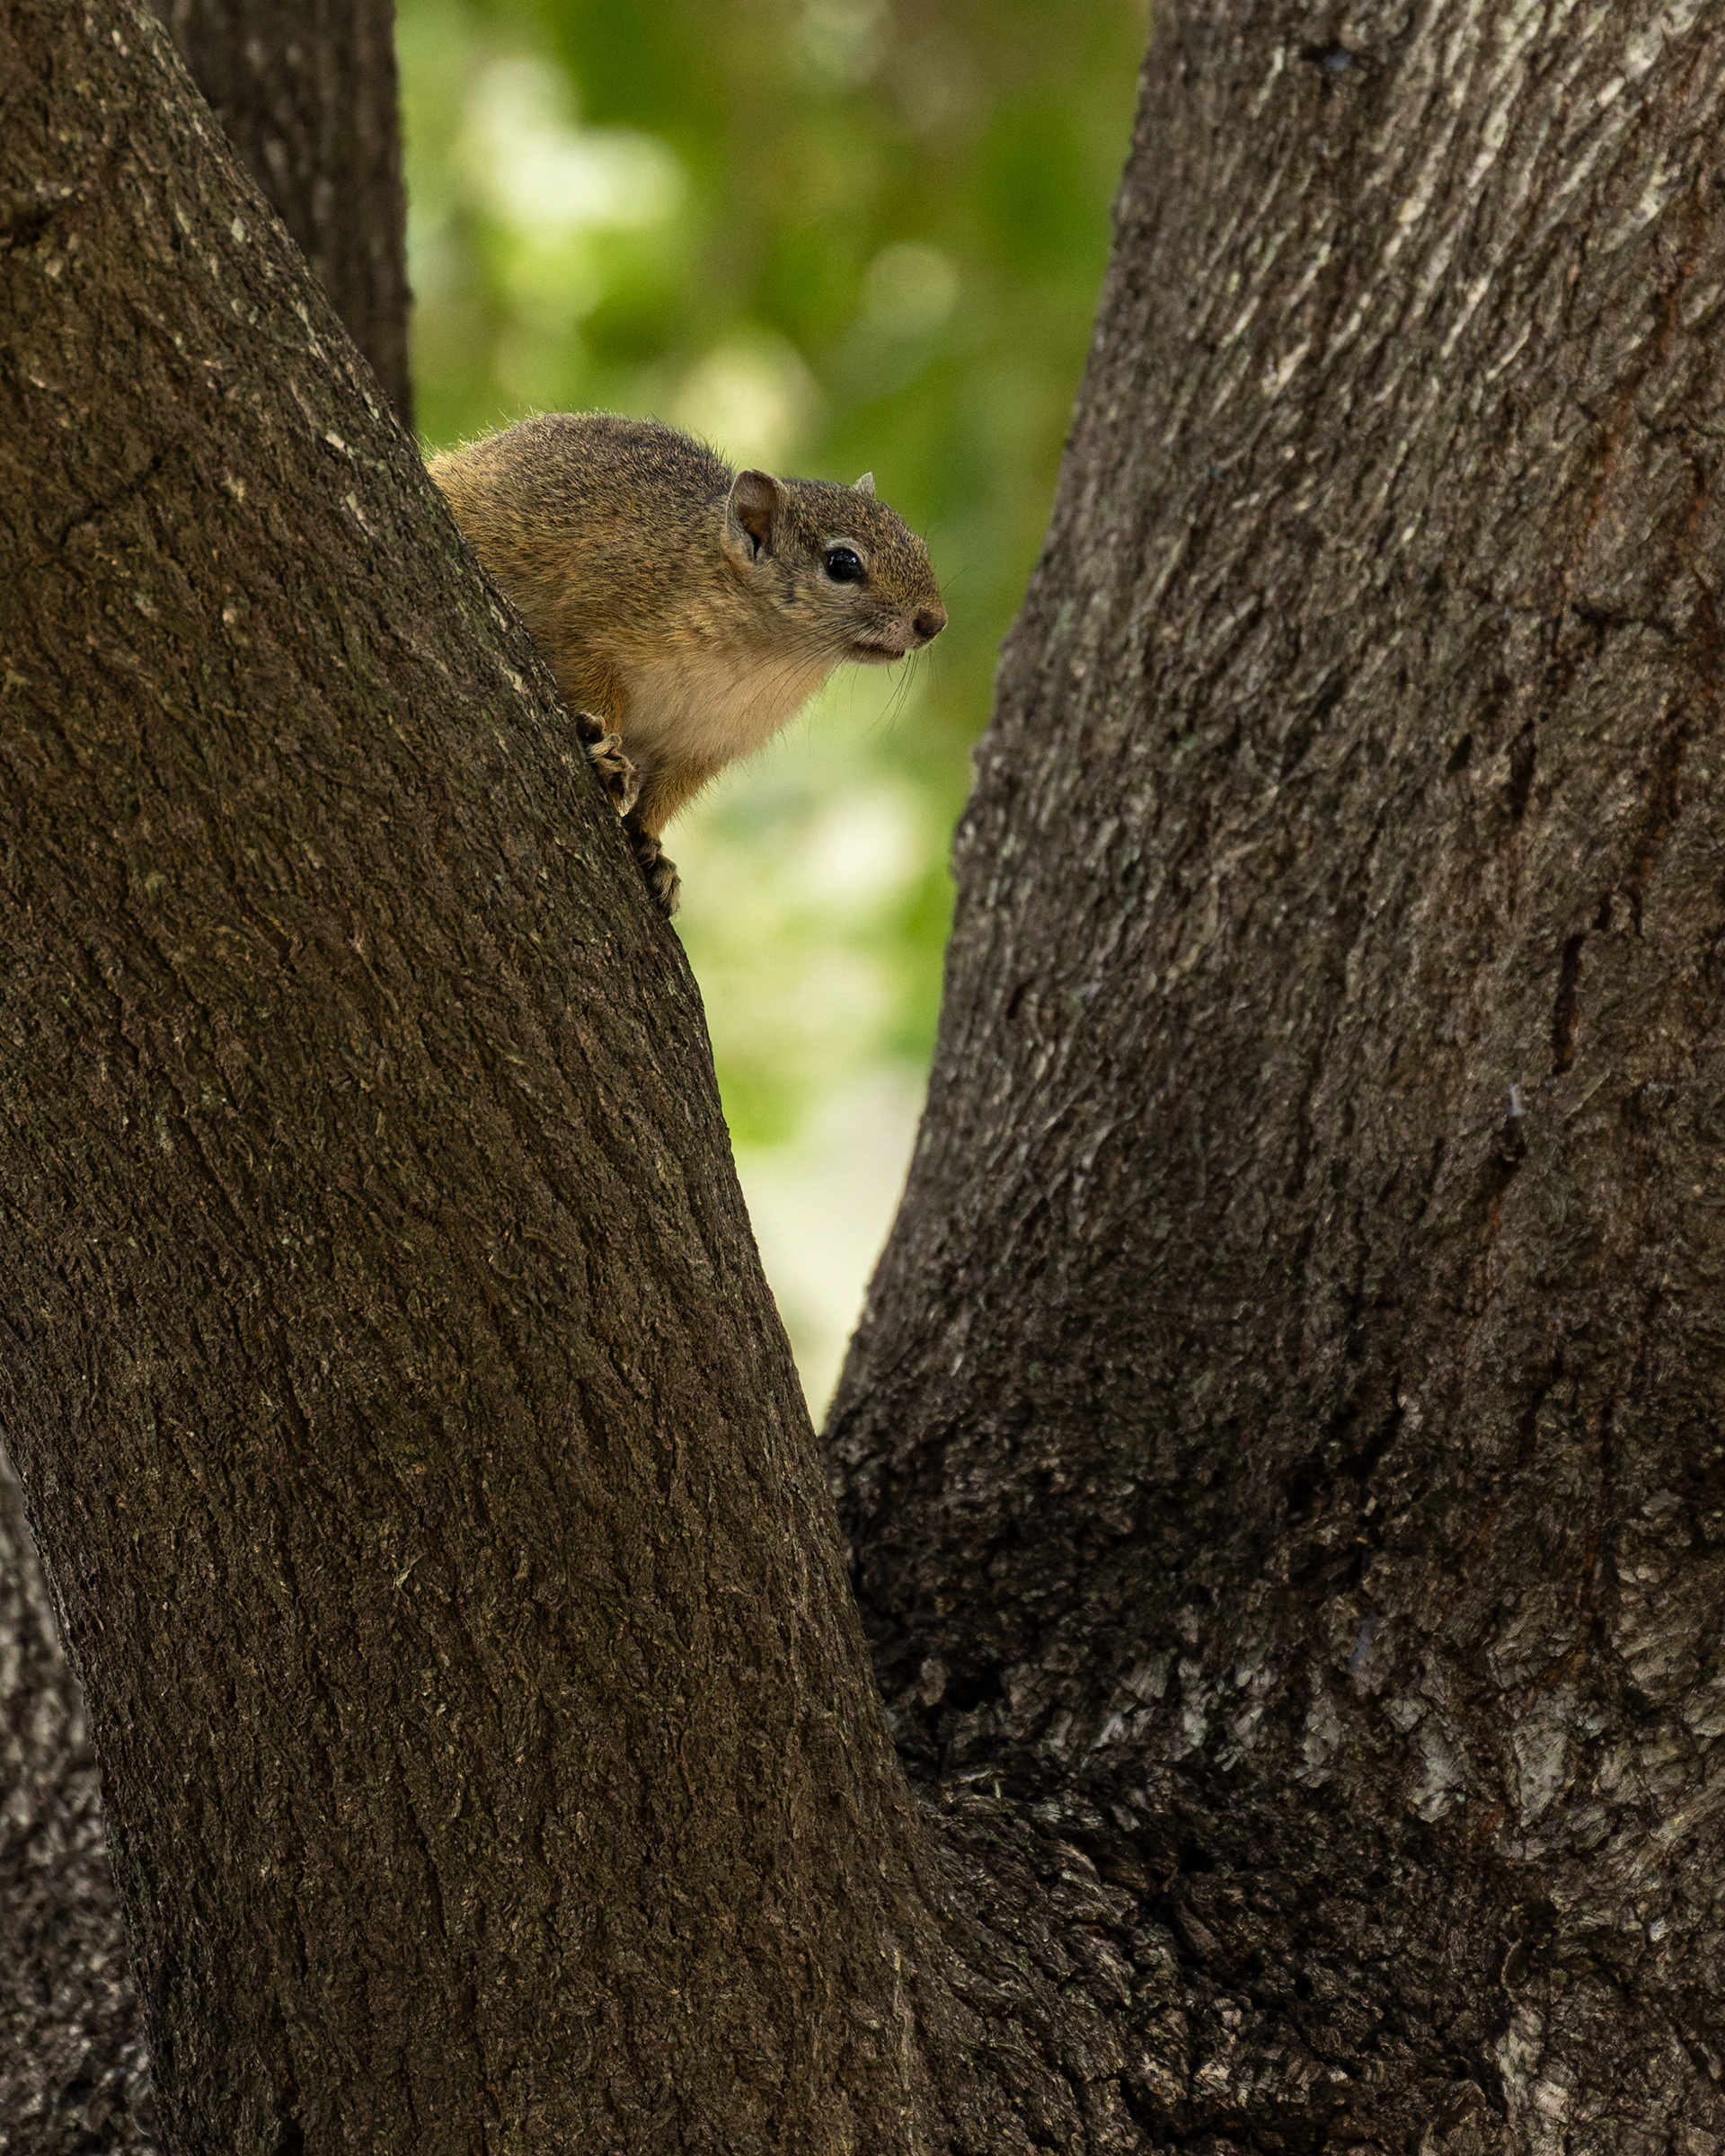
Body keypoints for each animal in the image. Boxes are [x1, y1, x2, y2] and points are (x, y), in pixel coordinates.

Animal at [428, 413, 947, 915]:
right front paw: (604, 756)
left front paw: (651, 846)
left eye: (917, 544)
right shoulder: (591, 620)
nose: (934, 622)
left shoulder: (710, 737)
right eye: (842, 563)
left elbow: (671, 792)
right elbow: (594, 687)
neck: (766, 653)